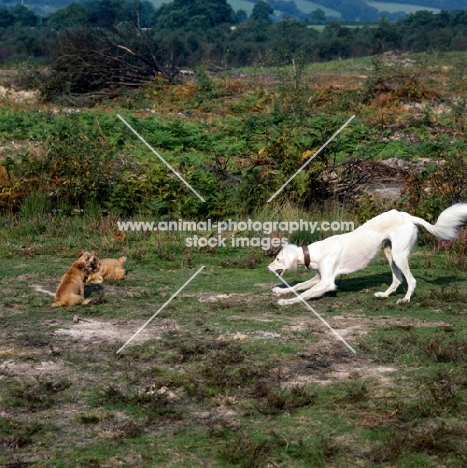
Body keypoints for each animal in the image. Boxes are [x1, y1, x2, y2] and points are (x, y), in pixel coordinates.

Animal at [266, 203, 467, 306]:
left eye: (277, 259)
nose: (268, 268)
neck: (316, 251)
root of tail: (406, 215)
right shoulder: (319, 278)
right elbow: (298, 286)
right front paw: (280, 291)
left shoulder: (326, 282)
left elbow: (305, 293)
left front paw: (287, 301)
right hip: (390, 253)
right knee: (397, 279)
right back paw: (384, 295)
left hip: (399, 255)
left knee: (411, 280)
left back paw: (405, 299)